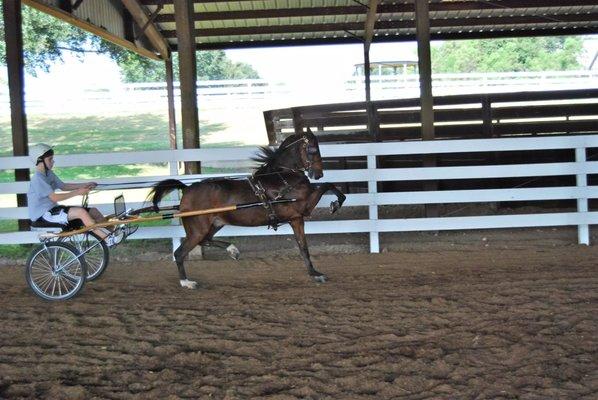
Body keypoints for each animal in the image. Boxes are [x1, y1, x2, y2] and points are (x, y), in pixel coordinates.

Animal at [149, 128, 346, 288]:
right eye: (313, 149)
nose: (318, 174)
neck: (282, 177)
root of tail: (187, 189)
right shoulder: (304, 208)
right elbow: (328, 186)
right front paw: (335, 204)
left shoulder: (296, 219)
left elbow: (303, 247)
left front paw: (314, 273)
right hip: (197, 229)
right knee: (180, 253)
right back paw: (186, 282)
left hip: (215, 224)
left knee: (205, 240)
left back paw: (232, 250)